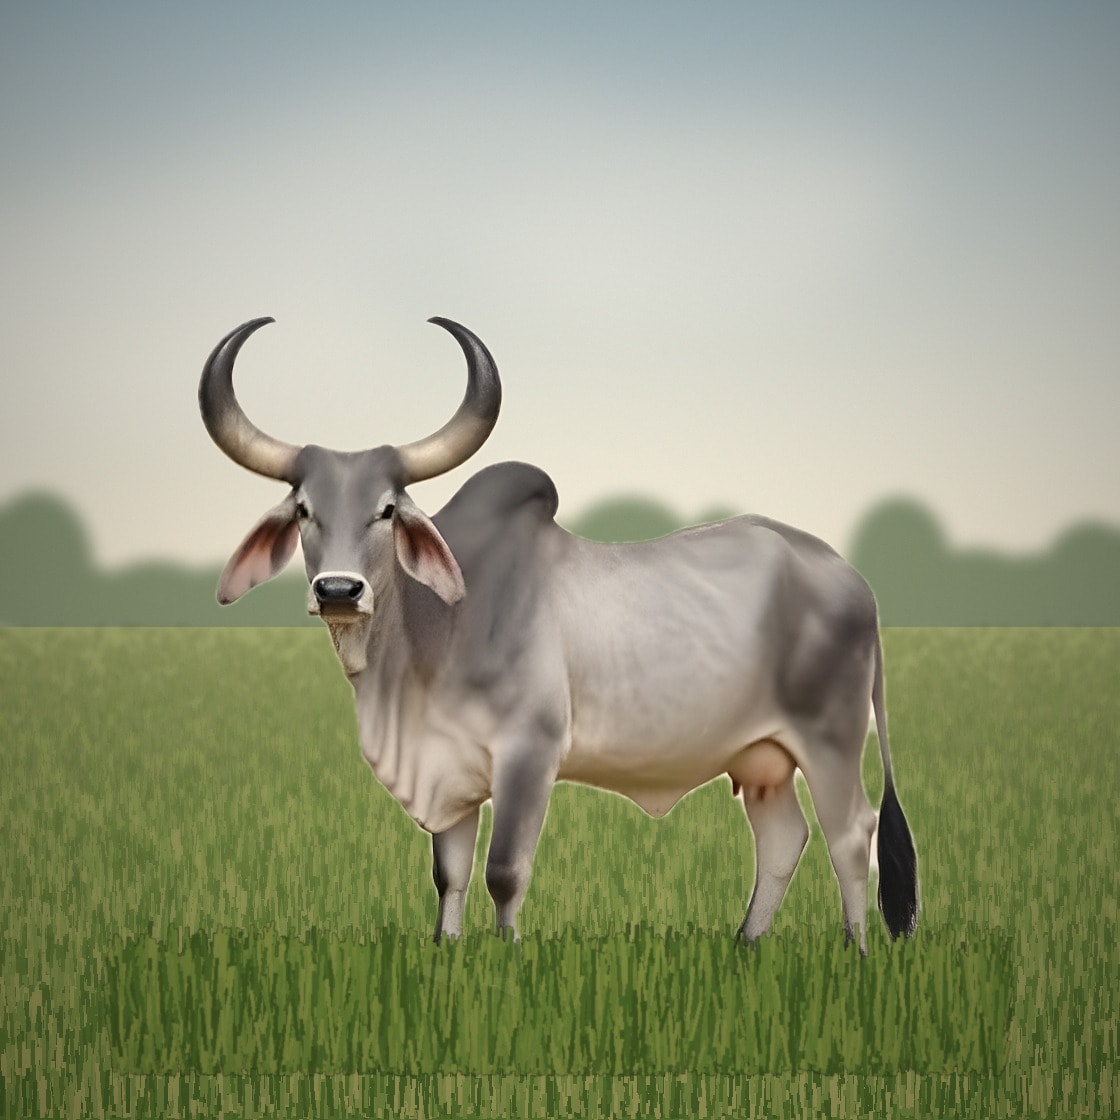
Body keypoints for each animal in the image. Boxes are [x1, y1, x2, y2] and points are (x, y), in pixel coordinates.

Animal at [199, 315, 919, 953]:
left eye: (387, 510)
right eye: (303, 510)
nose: (339, 591)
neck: (431, 639)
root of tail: (849, 577)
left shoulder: (529, 752)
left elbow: (504, 872)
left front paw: (509, 953)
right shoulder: (449, 770)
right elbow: (450, 874)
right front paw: (447, 949)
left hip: (829, 738)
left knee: (851, 834)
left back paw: (856, 951)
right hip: (762, 756)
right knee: (783, 839)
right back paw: (746, 943)